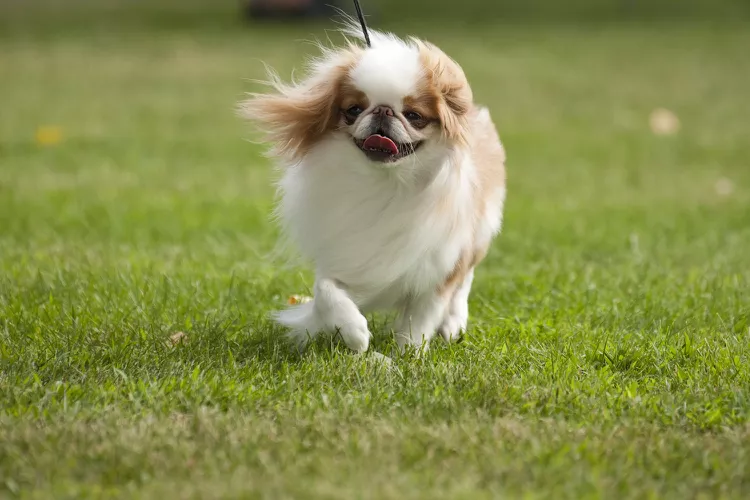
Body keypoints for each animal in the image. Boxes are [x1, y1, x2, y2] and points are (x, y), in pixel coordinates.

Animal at [244, 22, 508, 352]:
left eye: (414, 116)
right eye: (354, 110)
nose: (383, 110)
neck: (387, 184)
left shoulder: (438, 266)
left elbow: (421, 318)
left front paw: (410, 354)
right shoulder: (343, 255)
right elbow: (326, 292)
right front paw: (354, 333)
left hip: (476, 237)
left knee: (465, 282)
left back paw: (453, 323)